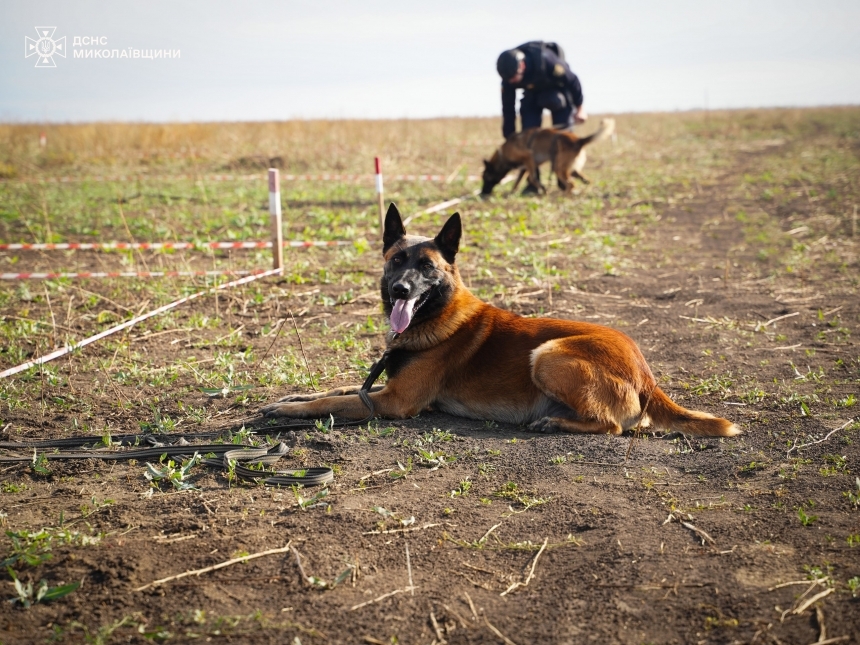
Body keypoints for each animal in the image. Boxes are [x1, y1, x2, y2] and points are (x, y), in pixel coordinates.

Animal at [260, 204, 740, 438]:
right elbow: (337, 389)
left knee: (611, 426)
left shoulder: (393, 401)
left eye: (427, 267)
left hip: (548, 354)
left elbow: (334, 402)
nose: (400, 290)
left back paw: (556, 424)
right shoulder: (383, 386)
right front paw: (291, 397)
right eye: (396, 260)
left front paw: (288, 410)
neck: (435, 319)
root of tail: (647, 375)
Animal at [480, 117, 616, 195]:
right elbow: (519, 180)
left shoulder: (528, 158)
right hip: (571, 169)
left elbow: (532, 178)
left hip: (558, 167)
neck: (503, 154)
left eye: (485, 177)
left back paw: (562, 195)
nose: (483, 192)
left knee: (571, 184)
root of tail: (579, 140)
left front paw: (544, 189)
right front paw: (512, 192)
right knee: (587, 181)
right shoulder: (526, 167)